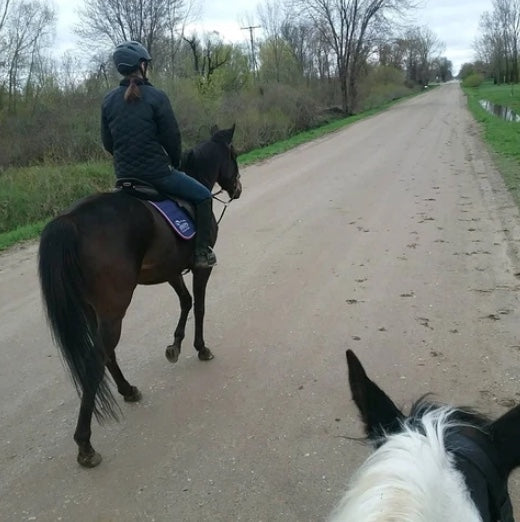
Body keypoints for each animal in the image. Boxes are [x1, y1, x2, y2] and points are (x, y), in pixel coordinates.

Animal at [38, 124, 242, 466]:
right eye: (234, 154)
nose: (237, 188)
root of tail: (70, 221)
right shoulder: (200, 269)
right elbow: (200, 305)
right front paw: (200, 348)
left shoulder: (170, 270)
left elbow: (185, 302)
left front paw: (174, 346)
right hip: (113, 307)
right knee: (97, 358)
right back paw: (85, 444)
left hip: (94, 309)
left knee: (106, 353)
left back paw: (128, 390)